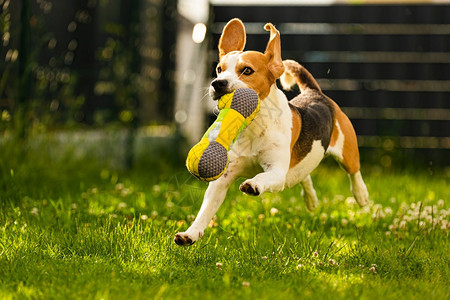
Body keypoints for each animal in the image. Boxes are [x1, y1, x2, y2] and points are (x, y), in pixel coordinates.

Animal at [174, 18, 368, 246]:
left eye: (247, 70)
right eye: (219, 69)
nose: (217, 83)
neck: (253, 125)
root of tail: (314, 92)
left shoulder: (276, 171)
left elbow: (262, 176)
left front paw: (253, 184)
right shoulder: (223, 179)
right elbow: (205, 211)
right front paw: (190, 233)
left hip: (347, 151)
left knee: (354, 172)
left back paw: (361, 195)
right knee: (303, 175)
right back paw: (310, 199)